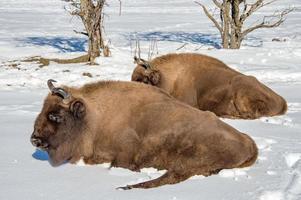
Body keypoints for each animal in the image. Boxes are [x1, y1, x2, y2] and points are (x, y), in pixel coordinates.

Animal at [29, 79, 255, 189]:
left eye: (56, 115)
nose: (34, 139)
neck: (95, 116)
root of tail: (249, 143)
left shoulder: (124, 156)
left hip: (189, 158)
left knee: (170, 177)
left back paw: (126, 187)